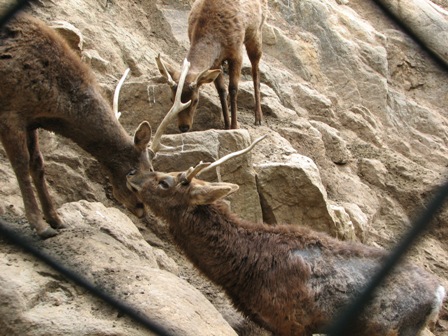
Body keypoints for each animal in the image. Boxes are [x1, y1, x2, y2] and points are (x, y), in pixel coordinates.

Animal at [0, 13, 191, 239]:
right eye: (143, 170)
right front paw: (40, 225)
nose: (141, 209)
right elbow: (21, 164)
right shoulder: (10, 113)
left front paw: (56, 220)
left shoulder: (30, 120)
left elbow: (37, 164)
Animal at [156, 0, 264, 132]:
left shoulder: (236, 52)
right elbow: (221, 90)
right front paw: (226, 125)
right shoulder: (215, 63)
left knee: (256, 70)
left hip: (256, 32)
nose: (183, 127)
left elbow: (233, 88)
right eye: (171, 98)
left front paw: (234, 126)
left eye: (196, 100)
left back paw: (258, 117)